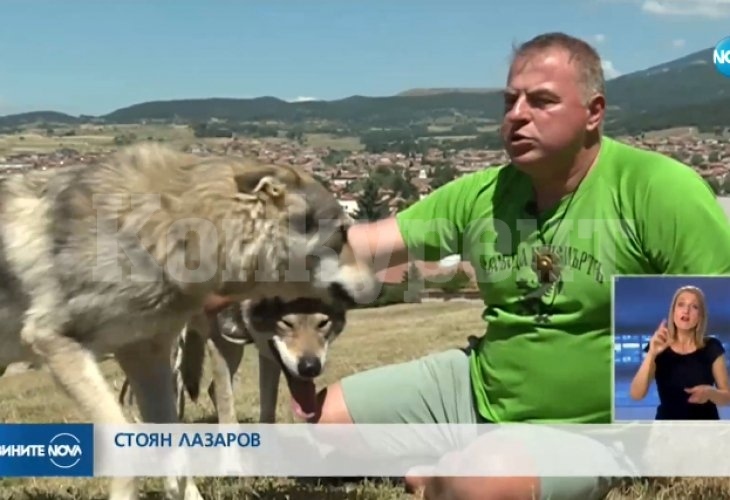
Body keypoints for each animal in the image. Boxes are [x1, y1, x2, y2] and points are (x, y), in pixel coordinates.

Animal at [0, 142, 376, 500]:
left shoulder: (145, 356)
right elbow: (128, 447)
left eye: (324, 324)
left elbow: (175, 453)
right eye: (343, 234)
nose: (376, 284)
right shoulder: (57, 343)